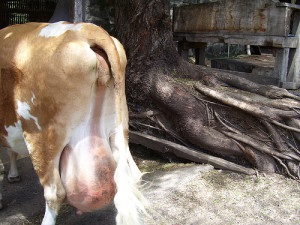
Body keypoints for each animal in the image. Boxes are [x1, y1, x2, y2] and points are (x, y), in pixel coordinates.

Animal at [0, 21, 146, 225]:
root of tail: (87, 29)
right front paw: (13, 173)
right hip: (119, 127)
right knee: (133, 174)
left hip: (41, 136)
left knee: (55, 193)